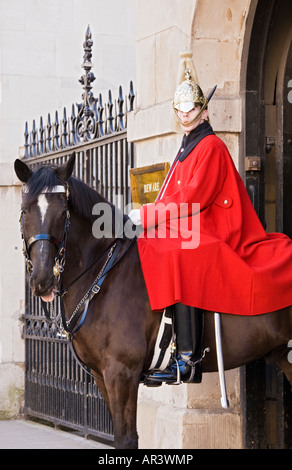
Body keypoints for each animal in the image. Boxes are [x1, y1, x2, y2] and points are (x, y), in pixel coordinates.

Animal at [14, 153, 292, 448]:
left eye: (63, 212)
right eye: (25, 211)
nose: (42, 279)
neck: (103, 274)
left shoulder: (121, 372)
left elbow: (126, 439)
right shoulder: (102, 376)